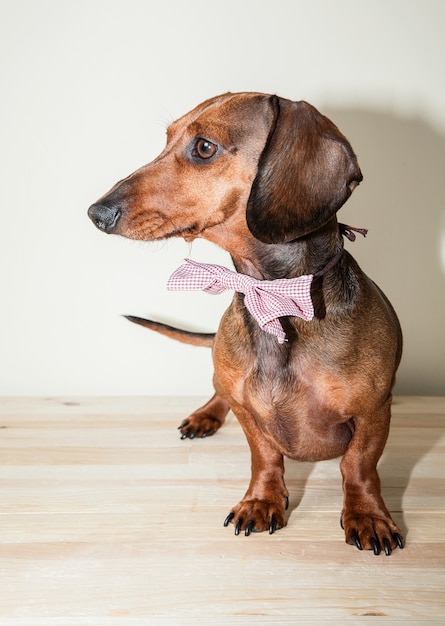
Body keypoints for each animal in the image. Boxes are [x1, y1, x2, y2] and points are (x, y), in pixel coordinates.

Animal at [88, 91, 404, 552]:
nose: (96, 213)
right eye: (166, 139)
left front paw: (367, 515)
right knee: (218, 389)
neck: (272, 298)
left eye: (204, 148)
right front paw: (261, 501)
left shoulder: (374, 411)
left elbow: (358, 466)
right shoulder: (247, 412)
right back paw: (204, 415)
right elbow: (264, 456)